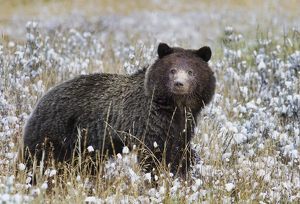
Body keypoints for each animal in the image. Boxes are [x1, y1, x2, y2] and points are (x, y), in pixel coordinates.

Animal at [21, 42, 216, 175]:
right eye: (172, 70)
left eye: (191, 71)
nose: (179, 84)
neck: (174, 106)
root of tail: (41, 100)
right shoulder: (147, 121)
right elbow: (154, 154)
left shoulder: (184, 123)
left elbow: (181, 151)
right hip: (56, 133)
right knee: (39, 159)